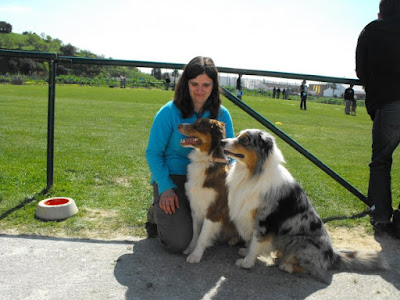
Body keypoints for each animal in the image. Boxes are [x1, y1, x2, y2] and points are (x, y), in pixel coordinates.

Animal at [179, 118, 239, 264]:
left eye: (199, 125)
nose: (178, 125)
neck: (206, 160)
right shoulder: (195, 206)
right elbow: (195, 233)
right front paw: (190, 248)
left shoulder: (213, 211)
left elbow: (202, 236)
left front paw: (196, 255)